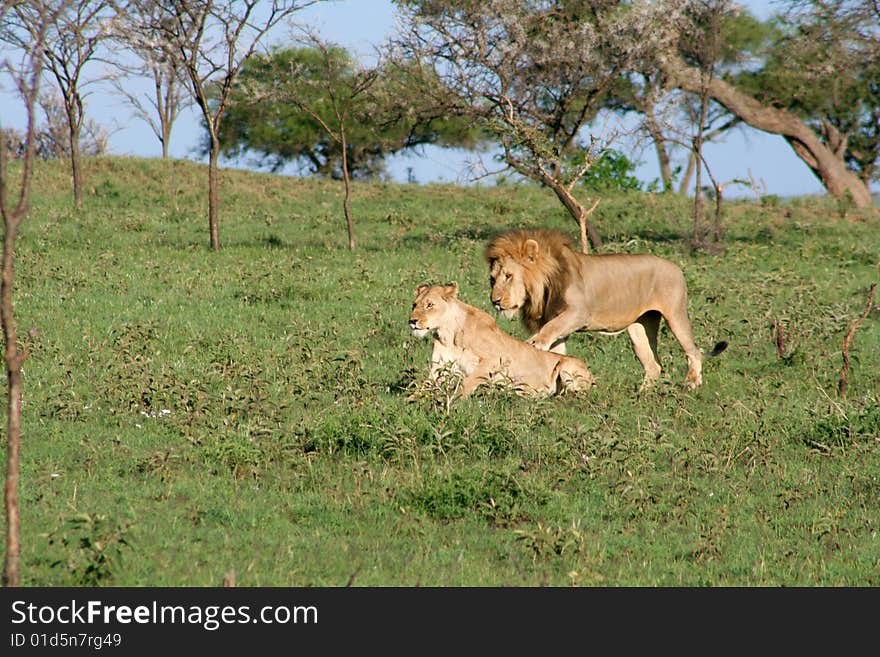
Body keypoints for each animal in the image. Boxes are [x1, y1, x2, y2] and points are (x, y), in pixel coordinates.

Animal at [410, 280, 592, 398]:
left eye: (429, 305)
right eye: (414, 305)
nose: (412, 321)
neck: (448, 334)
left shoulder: (498, 358)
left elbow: (468, 381)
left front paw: (455, 401)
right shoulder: (438, 368)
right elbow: (421, 388)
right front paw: (409, 404)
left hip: (567, 367)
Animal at [484, 228, 724, 386]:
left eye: (509, 276)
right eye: (492, 279)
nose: (495, 301)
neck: (544, 287)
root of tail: (677, 267)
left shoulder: (579, 313)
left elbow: (549, 330)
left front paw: (535, 343)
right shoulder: (559, 323)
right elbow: (557, 351)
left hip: (675, 315)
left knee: (693, 351)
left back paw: (692, 384)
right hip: (639, 328)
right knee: (653, 365)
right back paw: (642, 396)